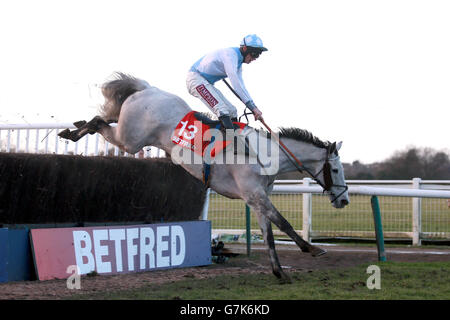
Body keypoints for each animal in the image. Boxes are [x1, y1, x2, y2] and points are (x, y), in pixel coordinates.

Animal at [58, 73, 350, 282]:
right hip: (130, 139)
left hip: (126, 128)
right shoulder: (254, 194)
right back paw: (72, 132)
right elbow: (284, 223)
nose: (344, 200)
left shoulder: (256, 199)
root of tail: (146, 89)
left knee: (103, 117)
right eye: (336, 170)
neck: (265, 154)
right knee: (100, 122)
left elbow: (268, 233)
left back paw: (73, 129)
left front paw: (279, 271)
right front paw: (312, 249)